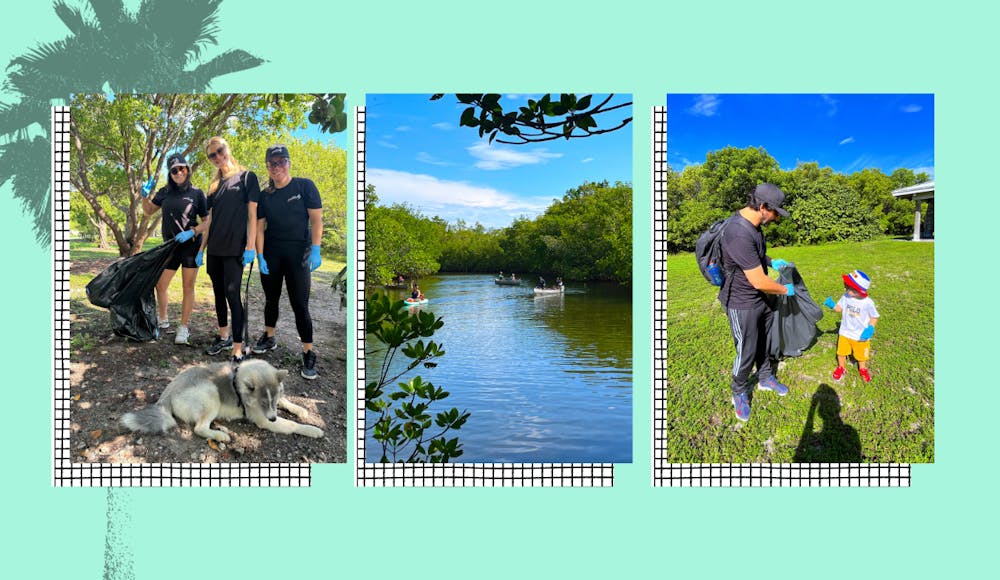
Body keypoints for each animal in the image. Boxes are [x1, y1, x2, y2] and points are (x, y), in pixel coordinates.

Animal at [119, 358, 324, 440]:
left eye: (272, 402)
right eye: (263, 403)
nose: (273, 418)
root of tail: (167, 393)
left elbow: (286, 400)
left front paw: (301, 410)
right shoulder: (263, 419)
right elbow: (292, 425)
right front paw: (313, 430)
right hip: (211, 393)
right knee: (199, 428)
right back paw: (220, 436)